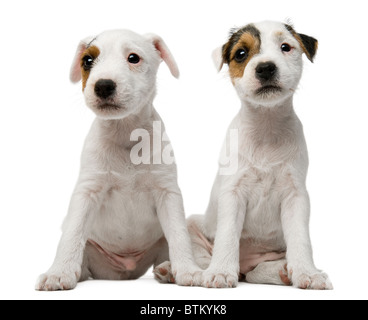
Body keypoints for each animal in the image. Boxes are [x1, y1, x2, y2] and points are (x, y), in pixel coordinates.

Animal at [35, 29, 201, 290]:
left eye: (133, 58)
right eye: (87, 61)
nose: (103, 86)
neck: (125, 132)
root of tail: (124, 270)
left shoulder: (167, 193)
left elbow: (179, 234)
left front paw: (188, 270)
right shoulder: (87, 192)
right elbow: (72, 233)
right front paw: (58, 273)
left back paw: (169, 270)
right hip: (91, 251)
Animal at [155, 20, 334, 290]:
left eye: (286, 47)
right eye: (241, 53)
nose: (266, 67)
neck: (266, 127)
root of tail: (243, 265)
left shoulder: (296, 197)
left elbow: (301, 239)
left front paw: (307, 273)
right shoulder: (233, 194)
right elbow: (228, 235)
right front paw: (220, 272)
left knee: (257, 272)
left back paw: (283, 271)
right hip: (193, 225)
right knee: (204, 256)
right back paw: (178, 271)